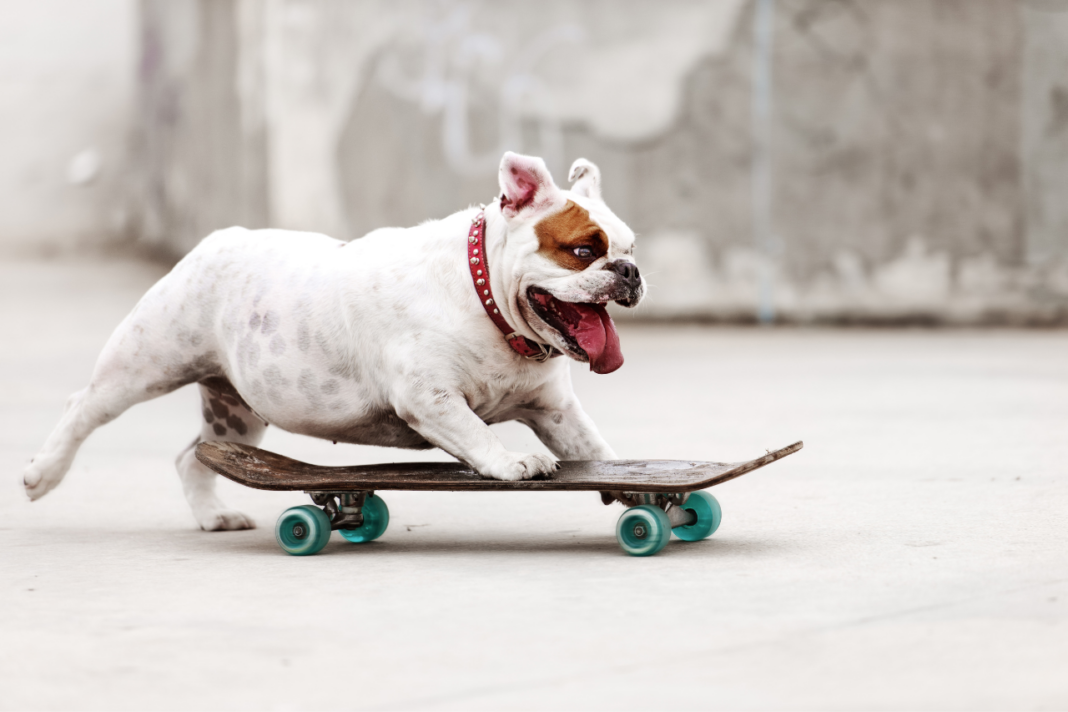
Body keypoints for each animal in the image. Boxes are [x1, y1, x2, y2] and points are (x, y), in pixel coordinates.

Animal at [22, 151, 640, 529]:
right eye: (583, 250)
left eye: (630, 247)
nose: (629, 271)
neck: (486, 298)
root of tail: (215, 240)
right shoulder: (431, 399)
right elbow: (476, 433)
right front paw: (511, 463)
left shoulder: (555, 411)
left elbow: (596, 450)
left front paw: (630, 482)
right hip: (142, 366)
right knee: (83, 408)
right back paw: (41, 474)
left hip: (237, 411)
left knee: (193, 455)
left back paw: (213, 516)